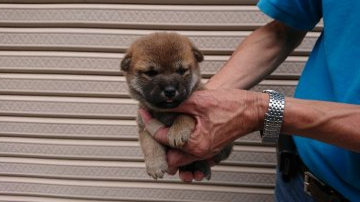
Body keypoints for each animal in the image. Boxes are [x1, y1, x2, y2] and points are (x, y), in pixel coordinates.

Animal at [121, 32, 233, 179]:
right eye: (151, 73)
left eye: (181, 71)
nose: (170, 90)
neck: (167, 111)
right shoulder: (144, 125)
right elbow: (149, 144)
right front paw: (155, 164)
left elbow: (185, 115)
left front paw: (178, 130)